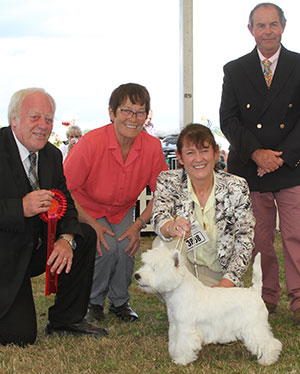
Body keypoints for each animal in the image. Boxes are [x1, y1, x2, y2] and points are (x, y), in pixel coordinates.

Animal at [135, 241, 282, 366]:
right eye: (144, 264)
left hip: (254, 327)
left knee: (270, 343)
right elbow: (175, 343)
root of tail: (255, 291)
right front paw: (175, 355)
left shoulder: (185, 328)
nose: (137, 275)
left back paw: (267, 360)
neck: (178, 290)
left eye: (155, 268)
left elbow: (183, 345)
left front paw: (181, 361)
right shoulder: (175, 326)